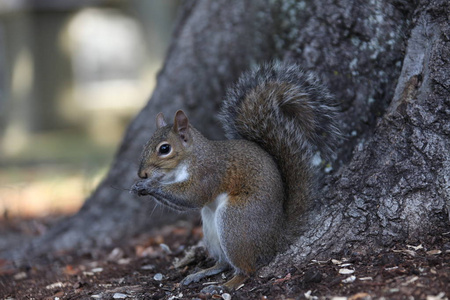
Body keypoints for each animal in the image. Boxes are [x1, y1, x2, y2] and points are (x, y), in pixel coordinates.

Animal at [132, 62, 340, 288]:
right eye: (145, 145)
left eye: (164, 149)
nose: (142, 173)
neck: (188, 160)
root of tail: (275, 238)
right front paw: (139, 186)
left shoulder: (209, 173)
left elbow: (192, 196)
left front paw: (150, 186)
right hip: (211, 226)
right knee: (224, 263)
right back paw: (201, 274)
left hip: (235, 220)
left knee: (247, 270)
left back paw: (227, 285)